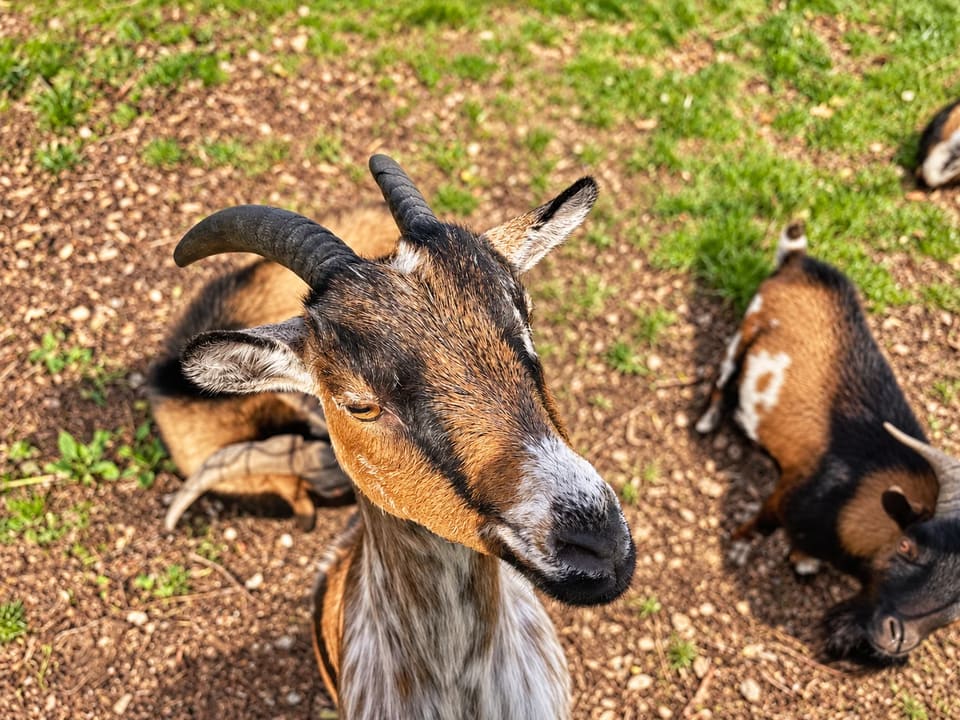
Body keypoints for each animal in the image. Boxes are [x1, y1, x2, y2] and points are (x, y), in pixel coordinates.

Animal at [696, 221, 960, 664]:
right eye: (906, 546)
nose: (898, 637)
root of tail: (799, 260)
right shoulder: (790, 491)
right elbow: (762, 522)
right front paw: (738, 549)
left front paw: (803, 562)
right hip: (747, 327)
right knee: (723, 376)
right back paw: (707, 421)